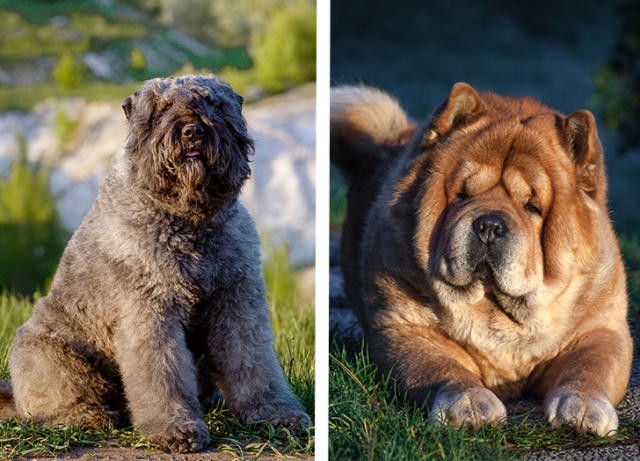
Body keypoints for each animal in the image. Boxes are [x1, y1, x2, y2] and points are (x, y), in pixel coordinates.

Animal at [0, 75, 310, 452]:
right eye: (162, 108)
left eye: (215, 103)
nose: (193, 131)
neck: (190, 223)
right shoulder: (150, 311)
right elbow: (162, 372)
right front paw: (176, 428)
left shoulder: (237, 305)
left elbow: (253, 362)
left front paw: (276, 415)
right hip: (48, 353)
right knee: (53, 405)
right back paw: (90, 416)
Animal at [332, 82, 632, 434]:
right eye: (462, 195)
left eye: (532, 206)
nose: (489, 225)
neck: (497, 306)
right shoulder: (405, 327)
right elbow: (442, 369)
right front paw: (469, 406)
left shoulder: (601, 328)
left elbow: (589, 368)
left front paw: (583, 410)